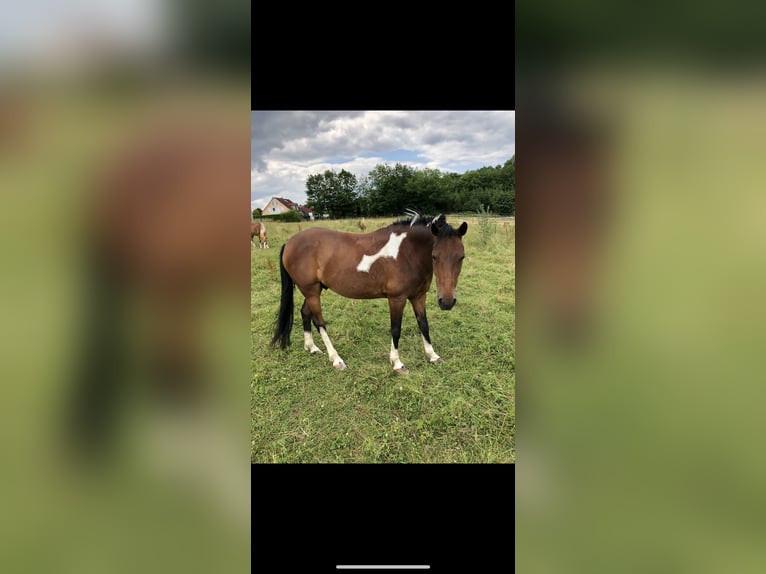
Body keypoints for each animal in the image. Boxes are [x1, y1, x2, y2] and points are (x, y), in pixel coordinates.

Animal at [270, 211, 468, 373]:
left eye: (461, 257)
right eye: (435, 256)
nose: (447, 301)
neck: (408, 252)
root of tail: (290, 242)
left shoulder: (419, 296)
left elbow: (424, 325)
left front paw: (433, 356)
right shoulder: (396, 299)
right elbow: (396, 329)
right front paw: (397, 363)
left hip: (315, 290)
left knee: (305, 312)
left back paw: (311, 347)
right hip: (311, 291)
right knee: (319, 322)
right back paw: (336, 359)